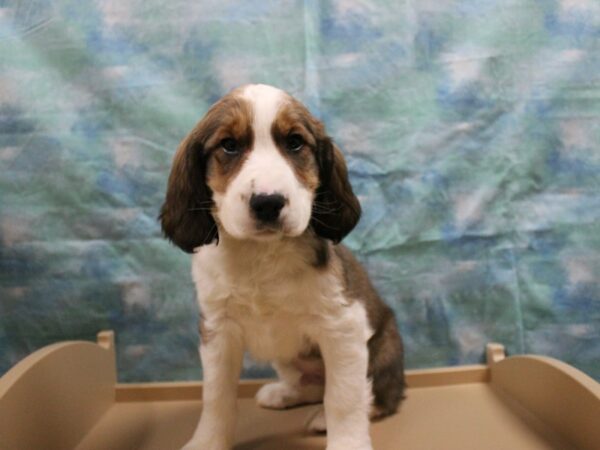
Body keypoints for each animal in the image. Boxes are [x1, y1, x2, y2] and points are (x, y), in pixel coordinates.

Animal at [159, 84, 406, 450]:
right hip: (288, 358)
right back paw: (284, 393)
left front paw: (347, 441)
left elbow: (344, 398)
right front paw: (208, 441)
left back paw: (327, 418)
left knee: (374, 396)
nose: (268, 203)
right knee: (313, 385)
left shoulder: (343, 327)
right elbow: (216, 396)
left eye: (294, 143)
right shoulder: (218, 330)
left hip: (383, 348)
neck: (262, 256)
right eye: (229, 145)